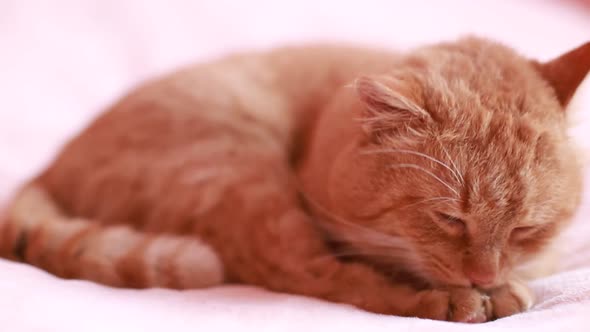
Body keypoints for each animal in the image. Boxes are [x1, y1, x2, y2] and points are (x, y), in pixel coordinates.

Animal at [1, 37, 590, 322]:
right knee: (307, 273)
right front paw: (469, 294)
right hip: (237, 163)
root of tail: (52, 164)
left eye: (525, 228)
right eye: (448, 218)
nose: (481, 275)